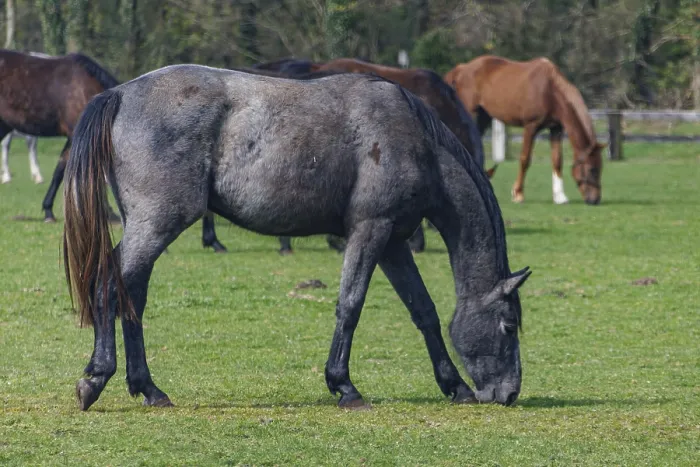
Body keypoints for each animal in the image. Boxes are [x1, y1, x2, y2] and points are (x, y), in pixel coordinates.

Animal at [62, 65, 531, 411]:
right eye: (509, 325)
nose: (509, 393)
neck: (414, 140)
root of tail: (120, 94)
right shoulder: (370, 231)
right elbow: (350, 305)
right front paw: (344, 386)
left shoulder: (394, 243)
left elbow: (424, 311)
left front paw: (454, 385)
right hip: (157, 224)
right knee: (108, 285)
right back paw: (97, 377)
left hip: (148, 227)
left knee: (131, 294)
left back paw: (148, 388)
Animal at [445, 55, 604, 205]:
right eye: (592, 169)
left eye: (600, 167)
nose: (595, 200)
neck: (550, 90)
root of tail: (461, 68)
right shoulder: (531, 126)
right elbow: (525, 159)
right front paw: (518, 194)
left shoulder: (555, 129)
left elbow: (557, 160)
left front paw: (560, 197)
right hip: (471, 114)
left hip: (484, 117)